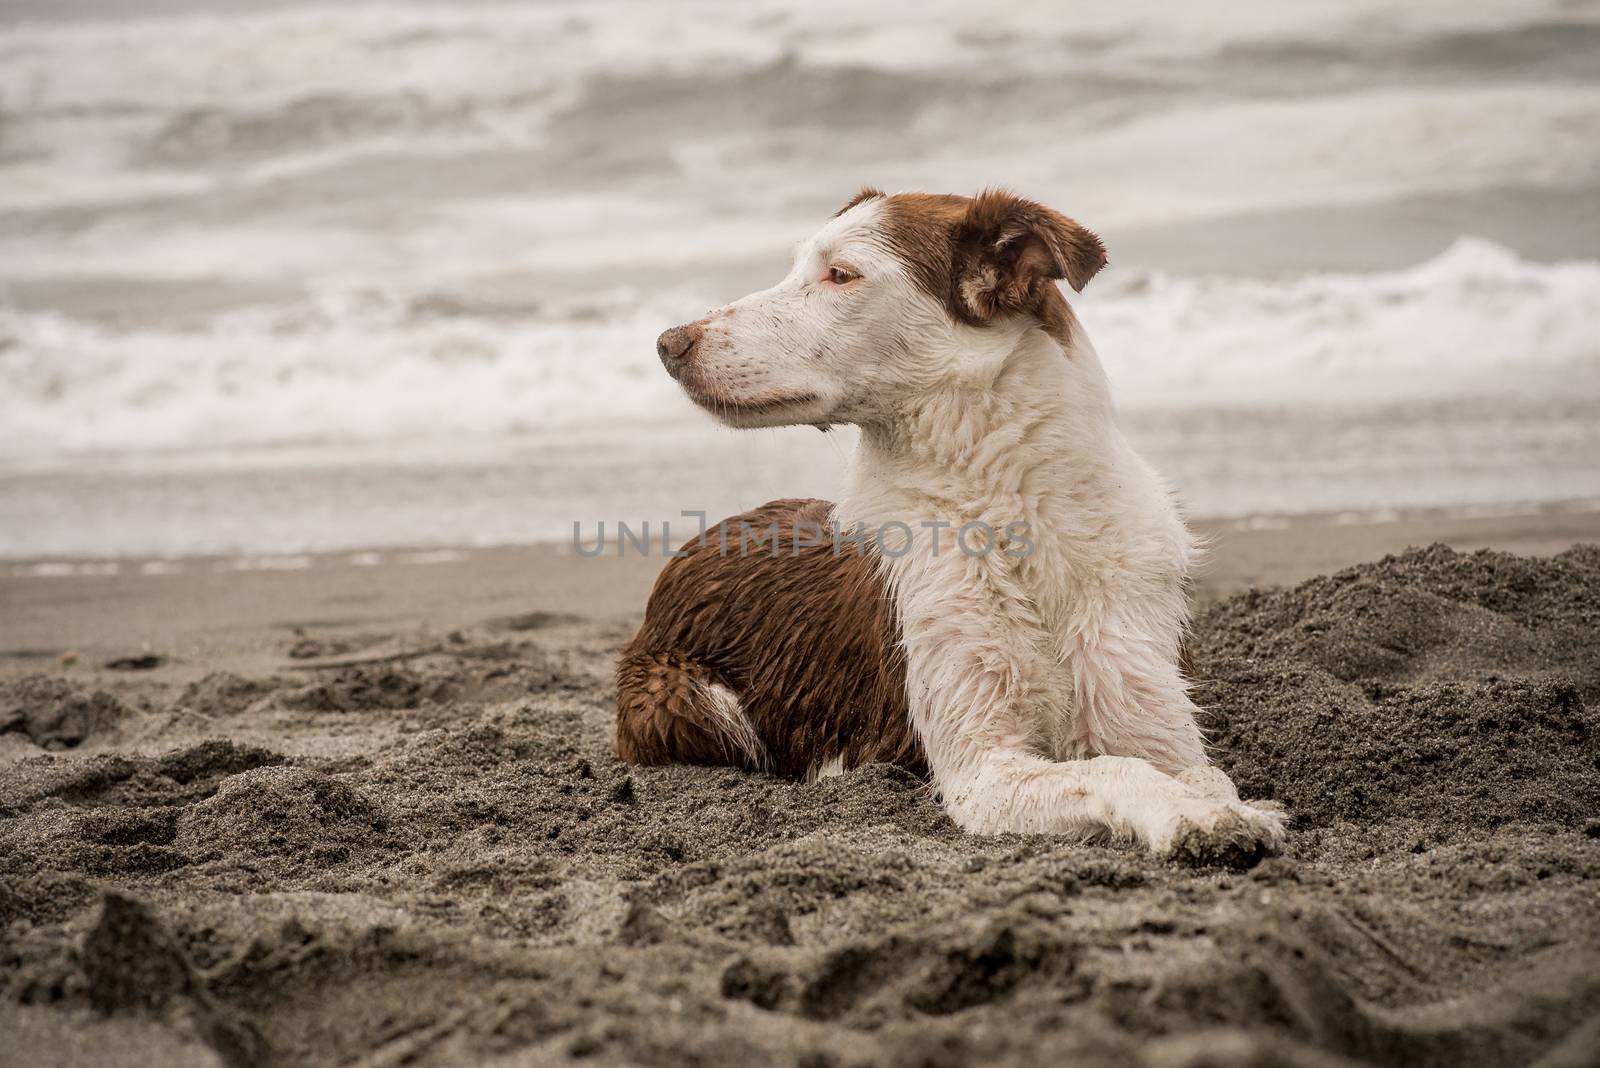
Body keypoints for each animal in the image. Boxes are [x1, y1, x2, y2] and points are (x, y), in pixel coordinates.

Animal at [611, 187, 1286, 863]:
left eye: (840, 274)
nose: (668, 343)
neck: (1012, 513)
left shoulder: (1153, 716)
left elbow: (1202, 772)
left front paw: (1224, 807)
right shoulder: (981, 769)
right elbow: (1113, 770)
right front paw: (1192, 816)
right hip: (684, 698)